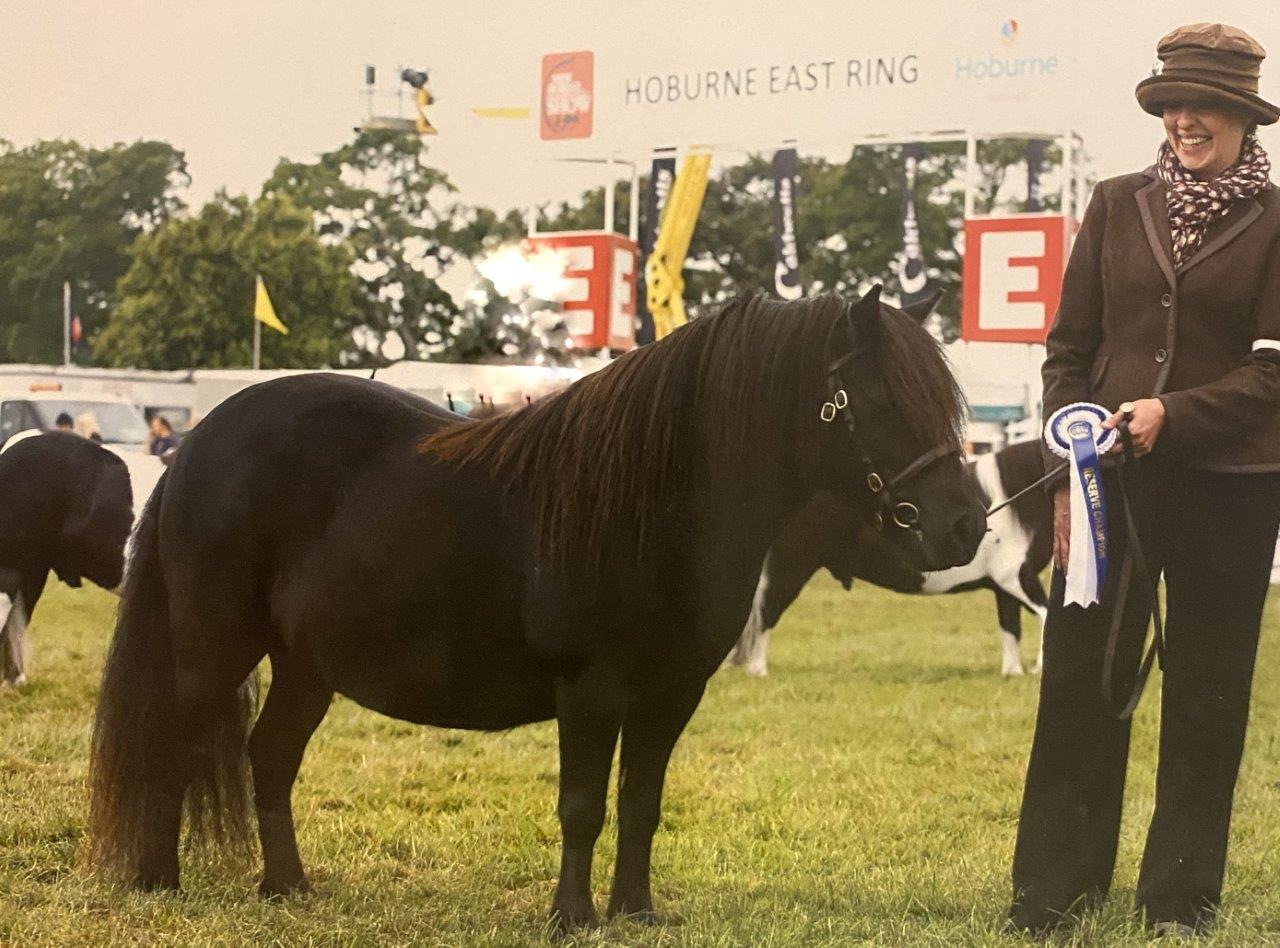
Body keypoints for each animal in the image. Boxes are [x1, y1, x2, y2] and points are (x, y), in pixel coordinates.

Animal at [87, 288, 987, 931]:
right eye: (876, 397)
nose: (966, 524)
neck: (650, 501)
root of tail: (198, 443)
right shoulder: (589, 690)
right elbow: (582, 806)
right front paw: (573, 917)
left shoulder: (671, 694)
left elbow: (641, 801)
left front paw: (636, 911)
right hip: (213, 649)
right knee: (175, 745)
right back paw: (160, 883)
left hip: (307, 664)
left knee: (269, 757)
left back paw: (288, 888)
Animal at [727, 439, 1052, 679]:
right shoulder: (1017, 577)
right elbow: (1045, 615)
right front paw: (1038, 669)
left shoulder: (1003, 587)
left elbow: (1011, 628)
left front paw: (1013, 672)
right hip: (790, 567)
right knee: (766, 612)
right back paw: (758, 671)